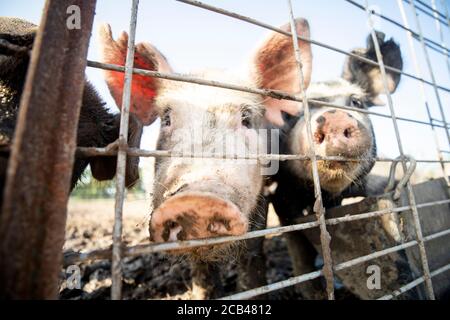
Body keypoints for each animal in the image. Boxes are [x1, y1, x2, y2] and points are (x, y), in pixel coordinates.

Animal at [270, 31, 404, 298]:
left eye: (357, 102)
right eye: (293, 114)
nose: (334, 115)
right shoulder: (282, 196)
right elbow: (298, 246)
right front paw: (313, 291)